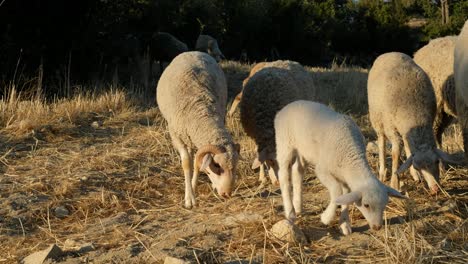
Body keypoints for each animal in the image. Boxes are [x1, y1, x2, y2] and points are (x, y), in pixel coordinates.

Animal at [156, 51, 239, 208]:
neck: (201, 110)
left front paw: (193, 188)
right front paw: (189, 198)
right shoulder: (176, 136)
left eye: (235, 166)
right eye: (217, 166)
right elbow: (187, 163)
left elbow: (197, 163)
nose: (227, 194)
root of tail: (193, 52)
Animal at [274, 100, 406, 235]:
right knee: (283, 175)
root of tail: (290, 104)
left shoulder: (344, 177)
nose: (377, 227)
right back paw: (290, 212)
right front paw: (326, 218)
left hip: (304, 150)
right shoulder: (322, 170)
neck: (351, 157)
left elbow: (345, 195)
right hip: (284, 144)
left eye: (385, 205)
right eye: (366, 205)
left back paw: (298, 206)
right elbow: (337, 191)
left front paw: (344, 224)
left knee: (297, 171)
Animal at [368, 51, 456, 193]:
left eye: (437, 161)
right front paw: (395, 183)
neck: (414, 113)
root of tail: (390, 52)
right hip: (378, 120)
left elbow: (408, 148)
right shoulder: (392, 128)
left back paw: (414, 176)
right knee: (381, 143)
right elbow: (395, 154)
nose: (435, 189)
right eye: (417, 166)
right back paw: (382, 172)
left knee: (407, 145)